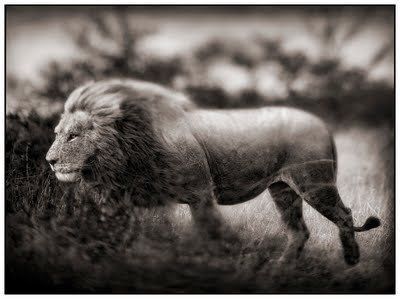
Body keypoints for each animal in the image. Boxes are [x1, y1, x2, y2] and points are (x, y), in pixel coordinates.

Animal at [45, 79, 380, 264]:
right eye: (57, 133)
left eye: (73, 136)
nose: (49, 160)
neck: (128, 146)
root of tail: (322, 123)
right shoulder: (121, 200)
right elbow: (119, 233)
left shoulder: (200, 194)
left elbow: (212, 232)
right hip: (283, 191)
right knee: (300, 231)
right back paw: (279, 269)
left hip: (314, 184)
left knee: (345, 214)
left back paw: (351, 259)